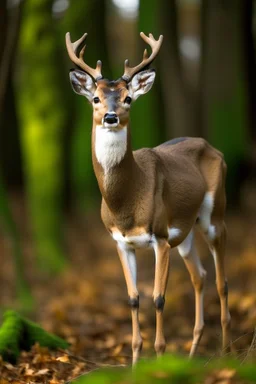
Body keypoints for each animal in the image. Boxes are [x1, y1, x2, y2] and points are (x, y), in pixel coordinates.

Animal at [65, 32, 231, 364]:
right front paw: (135, 362)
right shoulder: (119, 241)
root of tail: (212, 147)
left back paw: (227, 351)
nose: (111, 117)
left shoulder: (161, 236)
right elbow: (132, 298)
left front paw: (160, 357)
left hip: (214, 213)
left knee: (222, 281)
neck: (126, 203)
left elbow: (158, 298)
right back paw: (193, 352)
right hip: (187, 230)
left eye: (128, 98)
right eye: (95, 98)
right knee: (200, 275)